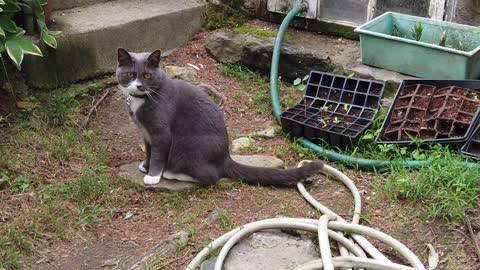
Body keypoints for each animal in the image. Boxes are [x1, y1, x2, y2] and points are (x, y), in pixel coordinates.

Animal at [115, 48, 322, 187]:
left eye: (148, 75)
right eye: (130, 74)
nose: (139, 85)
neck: (141, 99)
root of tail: (225, 158)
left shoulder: (160, 133)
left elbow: (158, 154)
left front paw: (153, 175)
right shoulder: (146, 134)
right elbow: (149, 151)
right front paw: (145, 165)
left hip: (187, 147)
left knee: (211, 176)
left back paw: (172, 174)